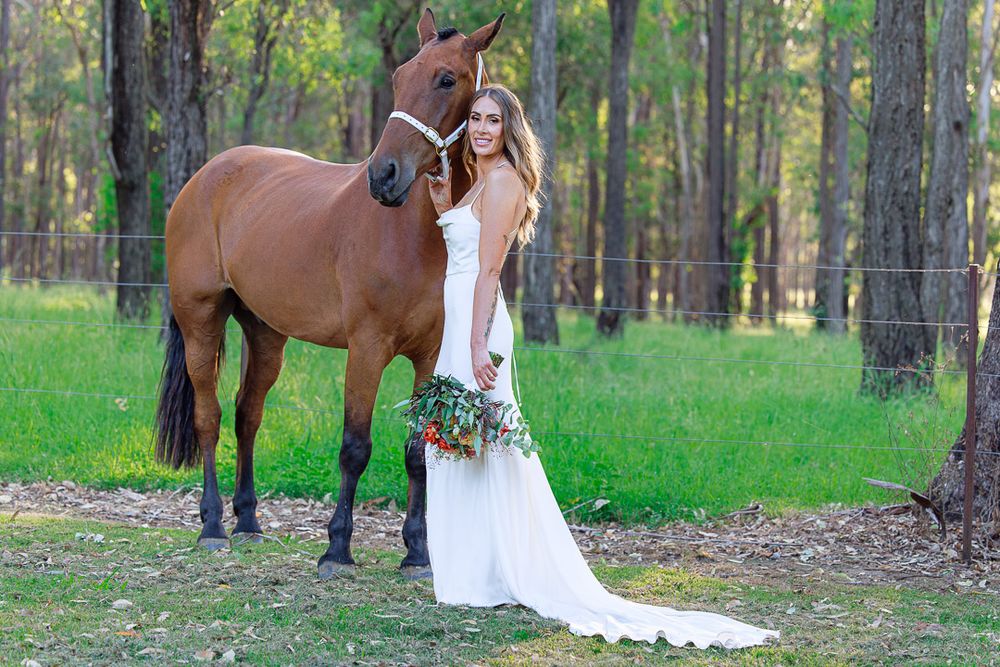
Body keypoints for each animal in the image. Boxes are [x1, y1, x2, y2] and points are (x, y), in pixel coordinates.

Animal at [155, 9, 504, 580]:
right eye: (398, 78)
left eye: (447, 79)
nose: (384, 176)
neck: (416, 236)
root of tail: (203, 177)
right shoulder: (366, 349)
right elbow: (354, 447)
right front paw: (337, 548)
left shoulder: (429, 356)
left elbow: (415, 453)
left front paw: (417, 554)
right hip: (199, 322)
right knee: (210, 416)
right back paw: (213, 527)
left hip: (266, 334)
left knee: (248, 413)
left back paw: (248, 521)